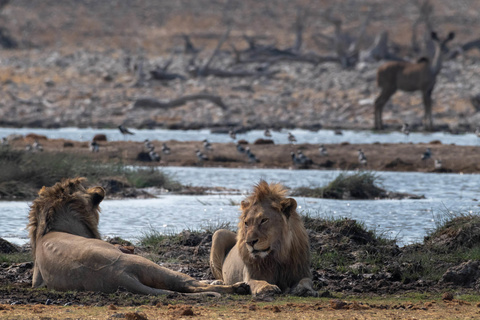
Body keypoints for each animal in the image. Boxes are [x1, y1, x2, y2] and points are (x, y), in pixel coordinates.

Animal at [27, 176, 248, 296]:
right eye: (81, 185)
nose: (101, 187)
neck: (51, 229)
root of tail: (118, 276)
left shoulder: (37, 280)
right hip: (148, 265)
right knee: (190, 283)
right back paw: (234, 287)